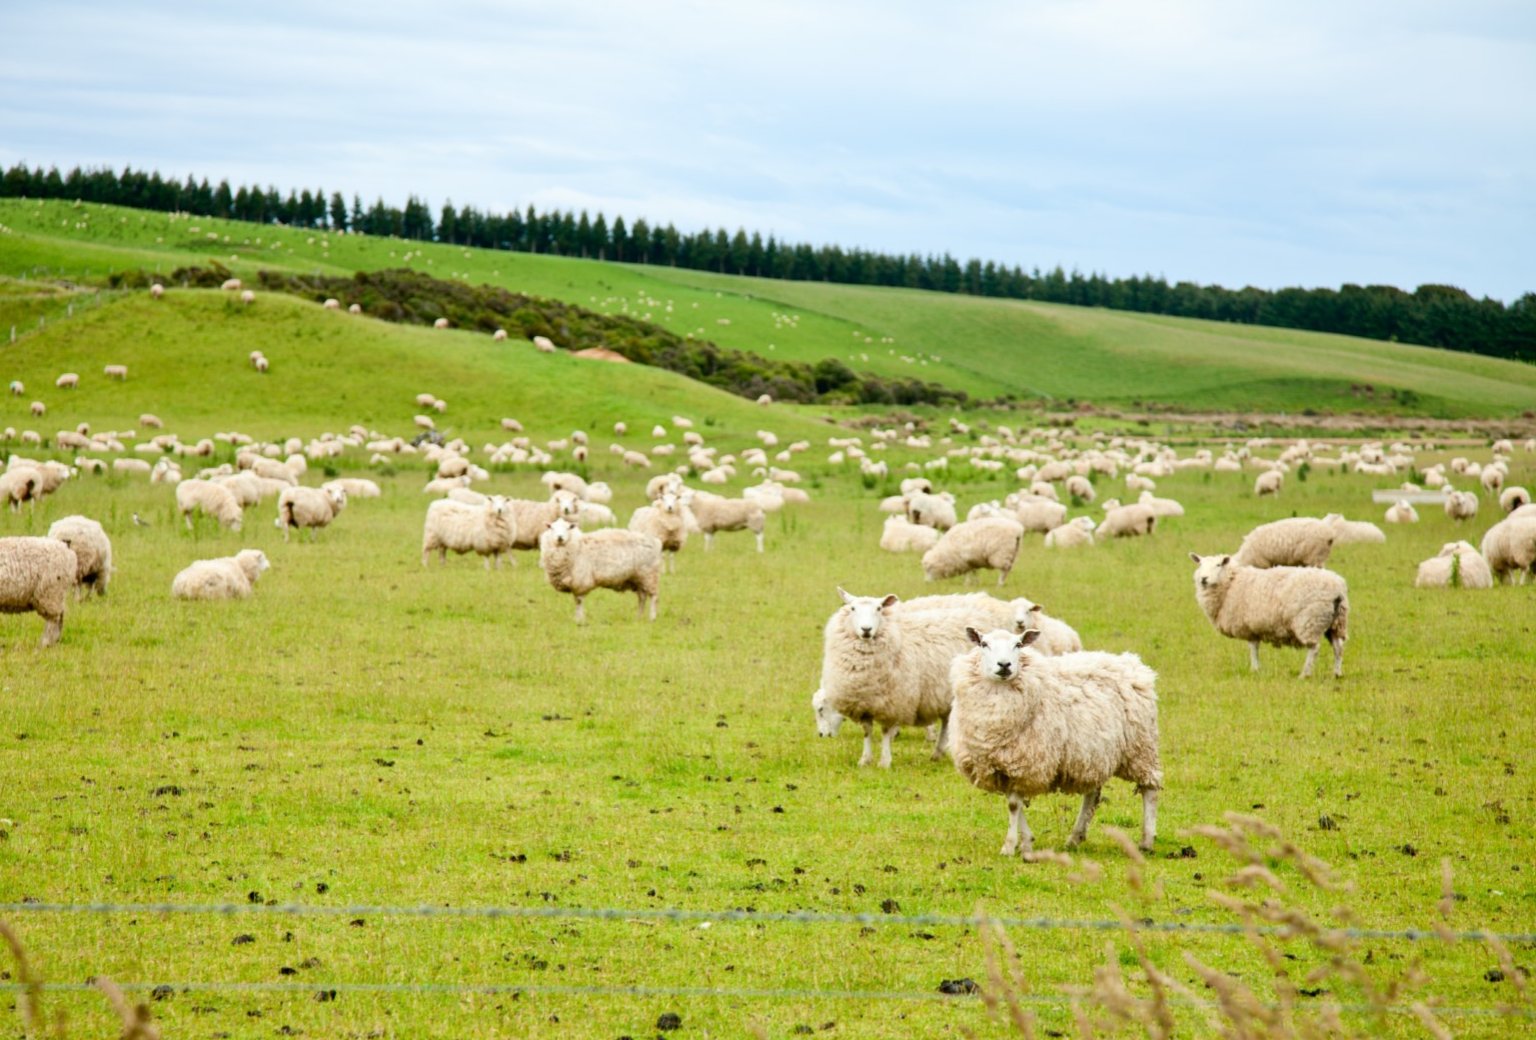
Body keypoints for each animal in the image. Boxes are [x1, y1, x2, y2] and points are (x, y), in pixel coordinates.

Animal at [947, 627, 1161, 854]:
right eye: (984, 644)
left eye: (1018, 645)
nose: (1004, 665)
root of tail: (1132, 663)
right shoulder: (1003, 766)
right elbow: (1015, 804)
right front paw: (1026, 841)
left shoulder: (1023, 763)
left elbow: (1013, 805)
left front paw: (1009, 846)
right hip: (1091, 755)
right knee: (1092, 794)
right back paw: (1075, 837)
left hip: (1141, 748)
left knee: (1150, 789)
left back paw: (1147, 840)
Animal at [1189, 552, 1349, 678]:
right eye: (1200, 564)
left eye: (1218, 565)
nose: (1203, 579)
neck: (1231, 583)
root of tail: (1337, 587)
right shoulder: (1252, 627)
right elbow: (1255, 648)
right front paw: (1256, 669)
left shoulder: (1248, 627)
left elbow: (1253, 648)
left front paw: (1254, 669)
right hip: (1336, 622)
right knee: (1338, 647)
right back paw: (1337, 673)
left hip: (1310, 621)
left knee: (1314, 649)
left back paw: (1305, 674)